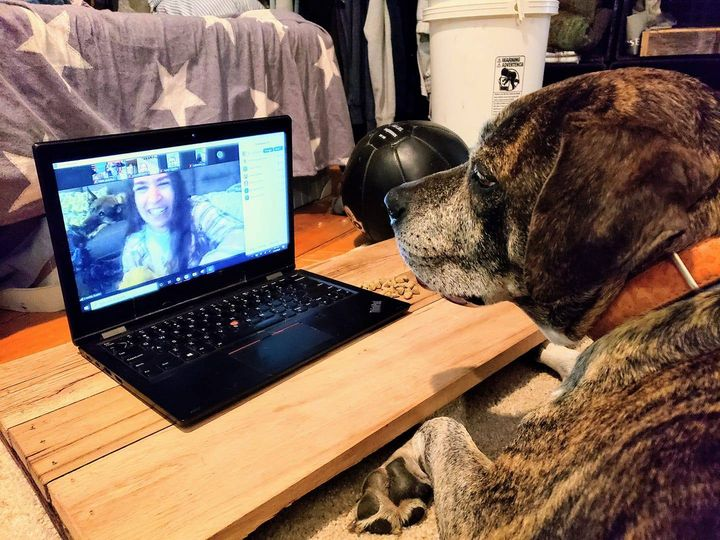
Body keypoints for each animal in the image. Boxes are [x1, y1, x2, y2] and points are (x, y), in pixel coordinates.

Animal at [350, 68, 720, 540]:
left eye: (483, 176)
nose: (389, 202)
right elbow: (567, 356)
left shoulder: (487, 515)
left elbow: (441, 424)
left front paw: (399, 468)